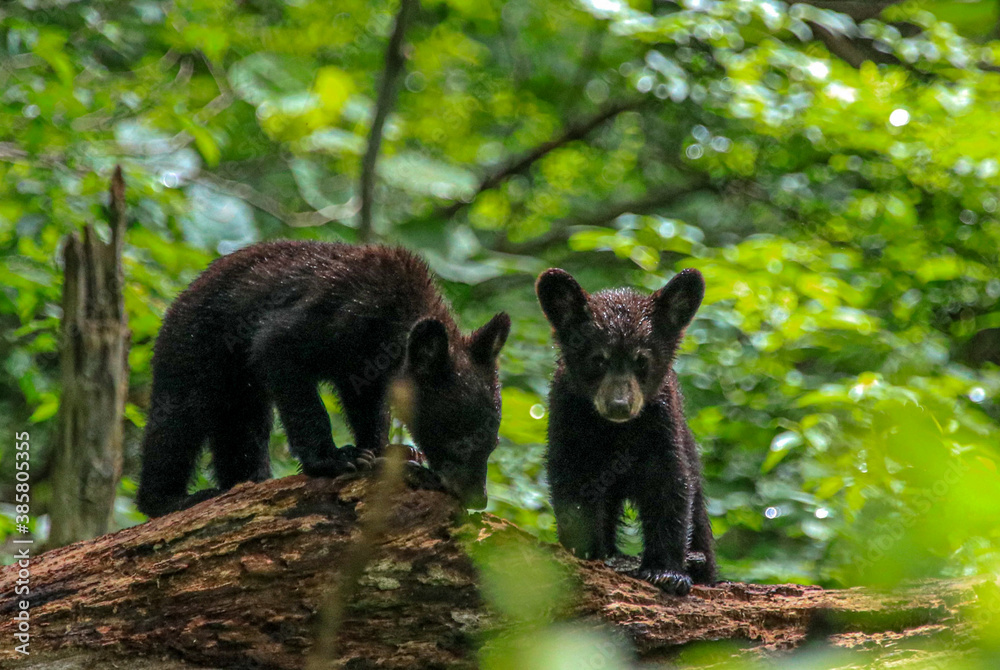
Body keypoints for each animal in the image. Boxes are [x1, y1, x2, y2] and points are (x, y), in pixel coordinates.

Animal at [136, 240, 510, 517]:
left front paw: (388, 451)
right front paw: (336, 459)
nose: (477, 499)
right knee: (178, 420)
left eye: (493, 443)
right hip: (195, 350)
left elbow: (367, 406)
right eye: (460, 442)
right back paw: (172, 500)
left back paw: (245, 483)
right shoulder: (330, 317)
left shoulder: (364, 368)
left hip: (241, 389)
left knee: (242, 429)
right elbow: (284, 359)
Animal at [536, 267, 716, 595]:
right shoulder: (568, 420)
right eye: (598, 359)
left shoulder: (661, 426)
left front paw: (668, 572)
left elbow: (669, 487)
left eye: (641, 360)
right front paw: (587, 552)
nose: (619, 405)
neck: (616, 432)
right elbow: (574, 484)